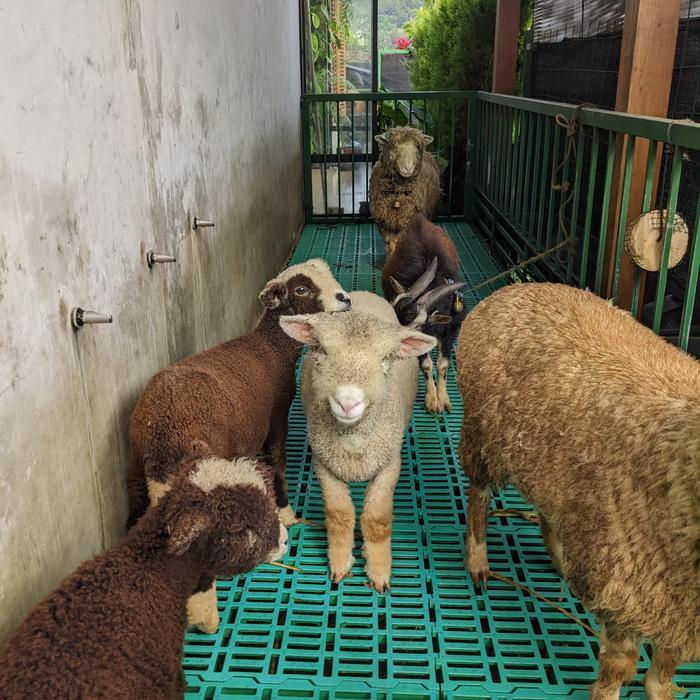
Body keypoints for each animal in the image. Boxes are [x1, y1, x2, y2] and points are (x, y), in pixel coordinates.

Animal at [126, 258, 350, 633]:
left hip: (135, 473)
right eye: (301, 288)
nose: (345, 299)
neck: (271, 345)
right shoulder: (277, 415)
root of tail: (161, 432)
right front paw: (286, 512)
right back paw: (208, 620)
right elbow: (276, 460)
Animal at [279, 291, 436, 591]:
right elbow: (339, 515)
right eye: (322, 351)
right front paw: (340, 562)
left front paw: (378, 570)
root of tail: (364, 294)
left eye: (386, 358)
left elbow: (376, 518)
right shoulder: (325, 465)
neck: (353, 445)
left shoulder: (388, 466)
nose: (347, 402)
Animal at [369, 126, 441, 257]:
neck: (398, 192)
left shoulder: (409, 220)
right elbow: (391, 244)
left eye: (418, 147)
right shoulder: (383, 221)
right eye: (394, 145)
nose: (408, 168)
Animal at [382, 214, 466, 413]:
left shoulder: (450, 329)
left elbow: (443, 364)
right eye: (391, 308)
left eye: (419, 324)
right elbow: (427, 365)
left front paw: (444, 399)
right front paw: (432, 400)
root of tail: (419, 219)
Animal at [456, 282, 699, 700]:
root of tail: (517, 288)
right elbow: (620, 666)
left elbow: (665, 664)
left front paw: (662, 688)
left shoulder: (671, 603)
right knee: (478, 497)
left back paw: (560, 558)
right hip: (481, 434)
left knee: (549, 514)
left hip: (550, 464)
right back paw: (478, 561)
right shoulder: (625, 584)